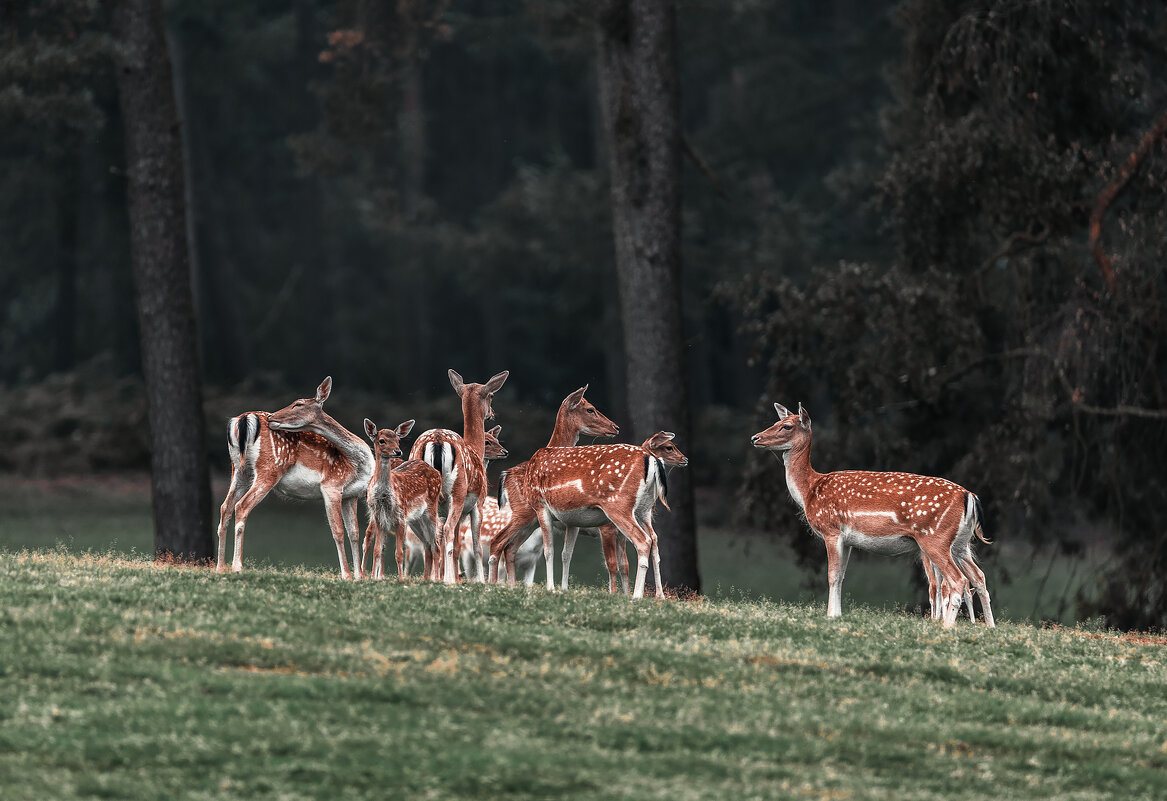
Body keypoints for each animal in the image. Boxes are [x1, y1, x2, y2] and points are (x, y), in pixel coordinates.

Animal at [213, 380, 368, 581]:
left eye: (298, 403)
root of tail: (243, 419)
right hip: (270, 468)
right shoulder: (331, 485)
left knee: (225, 507)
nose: (272, 417)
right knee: (241, 506)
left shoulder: (352, 494)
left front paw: (359, 577)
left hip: (239, 470)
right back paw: (237, 566)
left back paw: (220, 567)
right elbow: (338, 531)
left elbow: (354, 532)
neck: (357, 463)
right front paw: (347, 576)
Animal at [408, 371, 504, 583]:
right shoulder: (477, 504)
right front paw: (480, 580)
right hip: (457, 492)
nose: (493, 413)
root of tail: (436, 440)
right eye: (492, 395)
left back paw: (434, 577)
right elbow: (476, 546)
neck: (475, 448)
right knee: (445, 531)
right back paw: (448, 579)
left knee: (434, 534)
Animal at [483, 382, 620, 583]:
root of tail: (505, 475)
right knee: (497, 542)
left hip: (529, 521)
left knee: (509, 548)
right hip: (523, 513)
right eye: (590, 409)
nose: (615, 427)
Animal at [746, 404, 994, 630]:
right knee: (978, 577)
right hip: (960, 543)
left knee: (958, 580)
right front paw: (837, 615)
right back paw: (989, 627)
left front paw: (830, 616)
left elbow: (832, 575)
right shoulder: (847, 540)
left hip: (934, 538)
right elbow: (841, 576)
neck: (810, 489)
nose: (755, 437)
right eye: (776, 421)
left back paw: (947, 627)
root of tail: (969, 496)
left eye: (786, 426)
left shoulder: (831, 529)